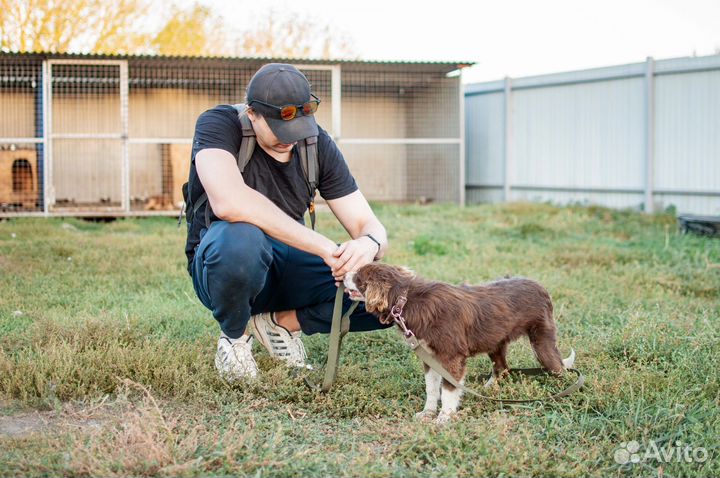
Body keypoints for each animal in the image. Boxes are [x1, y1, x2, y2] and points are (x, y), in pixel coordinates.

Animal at [344, 264, 572, 424]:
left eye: (358, 276)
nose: (343, 273)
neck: (406, 300)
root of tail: (540, 286)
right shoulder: (430, 358)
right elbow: (432, 389)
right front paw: (427, 413)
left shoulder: (451, 358)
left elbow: (448, 390)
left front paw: (444, 417)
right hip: (496, 342)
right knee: (502, 367)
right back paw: (488, 389)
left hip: (542, 343)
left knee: (559, 368)